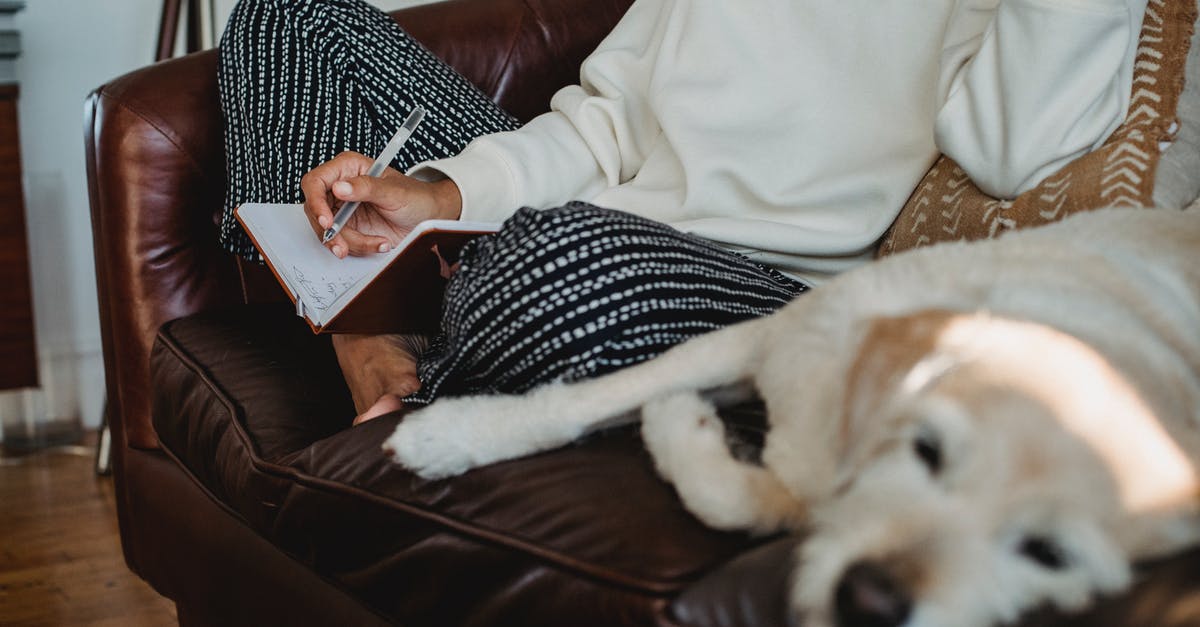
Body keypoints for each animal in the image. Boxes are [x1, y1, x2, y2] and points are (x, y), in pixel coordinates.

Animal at [384, 206, 1200, 624]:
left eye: (1052, 555)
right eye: (927, 449)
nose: (870, 604)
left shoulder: (814, 492)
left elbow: (733, 495)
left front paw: (682, 429)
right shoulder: (755, 339)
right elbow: (593, 396)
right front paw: (456, 434)